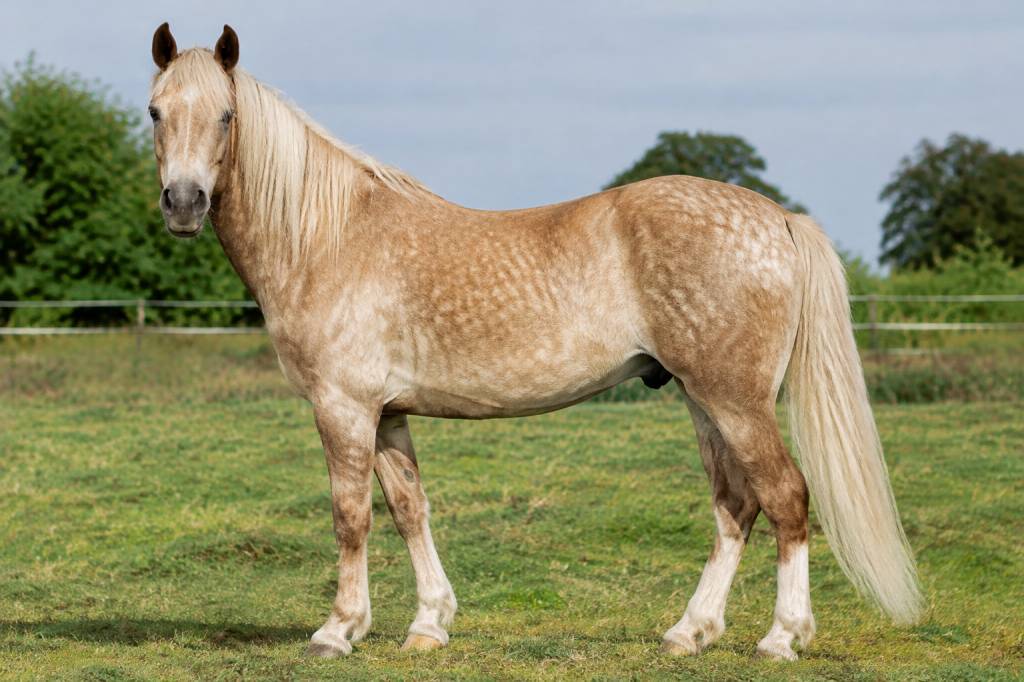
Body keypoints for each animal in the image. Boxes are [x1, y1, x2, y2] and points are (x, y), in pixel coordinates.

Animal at [146, 23, 921, 660]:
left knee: (786, 496)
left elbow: (350, 516)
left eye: (225, 116)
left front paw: (339, 630)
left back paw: (781, 638)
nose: (183, 204)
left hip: (736, 399)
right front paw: (428, 625)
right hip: (705, 399)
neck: (327, 237)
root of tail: (780, 218)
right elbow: (409, 509)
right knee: (736, 506)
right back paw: (688, 632)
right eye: (155, 111)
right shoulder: (387, 412)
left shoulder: (343, 407)